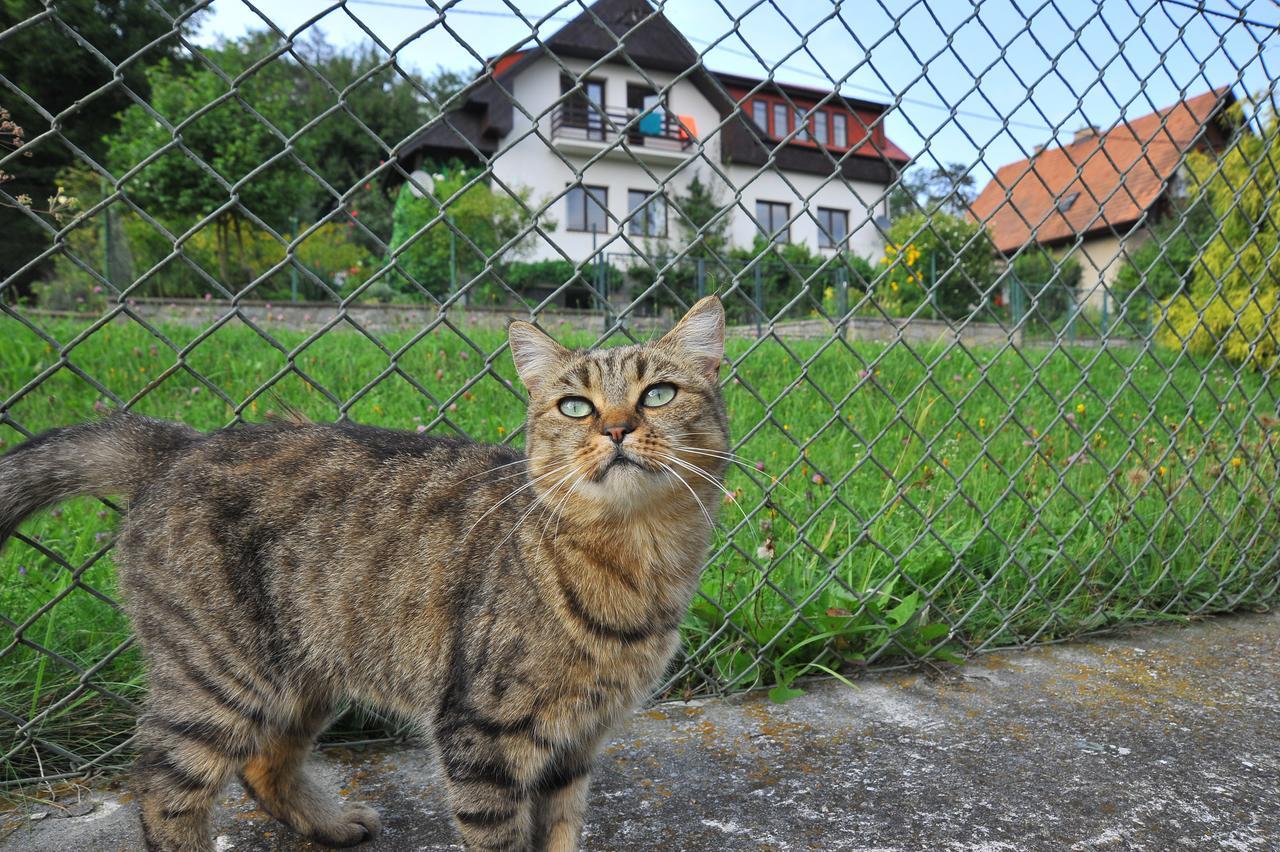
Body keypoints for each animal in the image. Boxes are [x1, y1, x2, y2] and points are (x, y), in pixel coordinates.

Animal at [0, 295, 732, 844]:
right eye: (574, 406)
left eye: (658, 394)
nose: (615, 428)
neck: (637, 561)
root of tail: (180, 443)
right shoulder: (481, 736)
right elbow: (500, 836)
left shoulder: (576, 744)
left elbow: (560, 834)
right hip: (217, 674)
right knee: (160, 783)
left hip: (300, 673)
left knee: (262, 763)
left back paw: (329, 825)